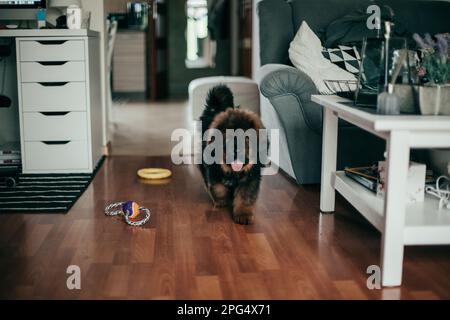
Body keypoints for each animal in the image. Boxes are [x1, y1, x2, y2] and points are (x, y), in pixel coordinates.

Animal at [200, 85, 266, 225]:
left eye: (247, 138)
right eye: (228, 139)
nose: (236, 150)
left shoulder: (250, 178)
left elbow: (245, 196)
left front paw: (243, 214)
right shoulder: (213, 171)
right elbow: (219, 187)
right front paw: (222, 201)